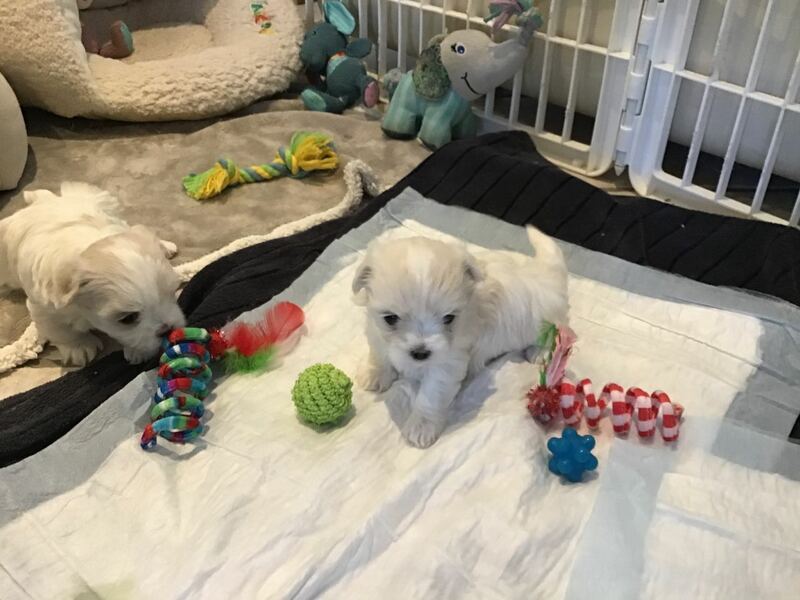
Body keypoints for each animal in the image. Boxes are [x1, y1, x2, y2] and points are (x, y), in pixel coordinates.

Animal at [0, 182, 185, 366]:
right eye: (128, 318)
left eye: (172, 294)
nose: (167, 330)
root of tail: (42, 201)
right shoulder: (45, 308)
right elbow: (61, 331)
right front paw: (79, 347)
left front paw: (138, 351)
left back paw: (165, 246)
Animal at [352, 227, 568, 448]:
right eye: (390, 318)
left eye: (449, 318)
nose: (420, 353)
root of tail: (546, 272)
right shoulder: (376, 331)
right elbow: (379, 353)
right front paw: (374, 374)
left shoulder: (448, 360)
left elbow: (431, 393)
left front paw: (421, 426)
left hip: (544, 318)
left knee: (557, 329)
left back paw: (539, 352)